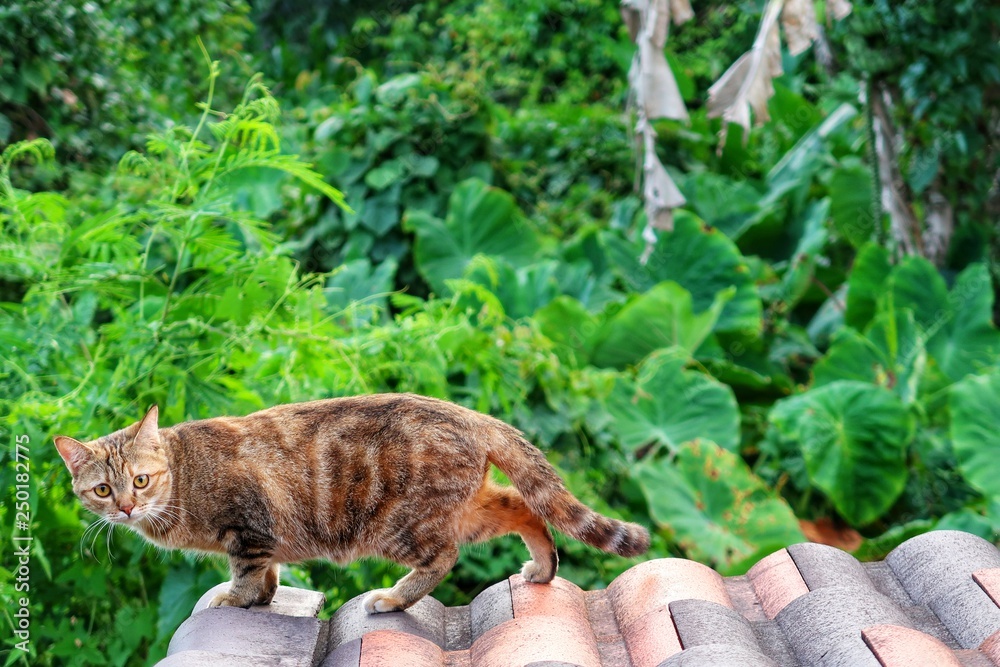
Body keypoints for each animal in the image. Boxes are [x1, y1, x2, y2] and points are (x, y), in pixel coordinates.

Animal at [54, 394, 652, 612]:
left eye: (141, 480)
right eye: (103, 489)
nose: (126, 509)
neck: (182, 478)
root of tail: (472, 415)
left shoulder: (248, 529)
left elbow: (245, 573)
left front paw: (236, 598)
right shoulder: (264, 539)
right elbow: (268, 575)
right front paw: (264, 596)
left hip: (401, 525)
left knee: (443, 558)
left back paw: (392, 599)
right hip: (469, 508)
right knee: (525, 506)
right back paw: (542, 569)